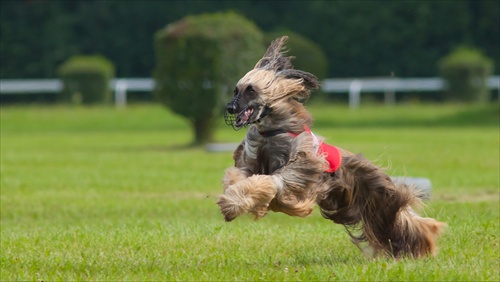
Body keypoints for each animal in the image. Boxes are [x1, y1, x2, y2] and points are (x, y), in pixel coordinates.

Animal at [216, 35, 446, 258]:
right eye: (236, 90)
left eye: (250, 90)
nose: (230, 108)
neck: (272, 132)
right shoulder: (250, 161)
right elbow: (239, 176)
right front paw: (233, 201)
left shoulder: (299, 169)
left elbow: (269, 181)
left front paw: (232, 204)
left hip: (380, 200)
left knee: (405, 221)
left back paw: (427, 241)